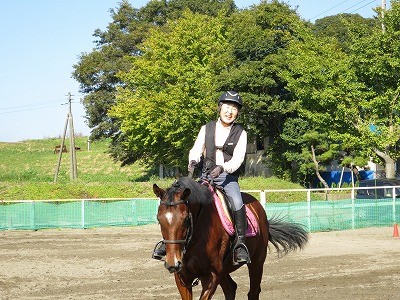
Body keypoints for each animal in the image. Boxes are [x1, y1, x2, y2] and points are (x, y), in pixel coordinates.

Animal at [153, 177, 310, 298]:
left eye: (186, 219)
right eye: (159, 219)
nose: (173, 263)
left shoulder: (211, 276)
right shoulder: (182, 278)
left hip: (257, 262)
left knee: (253, 292)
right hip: (224, 269)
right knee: (231, 288)